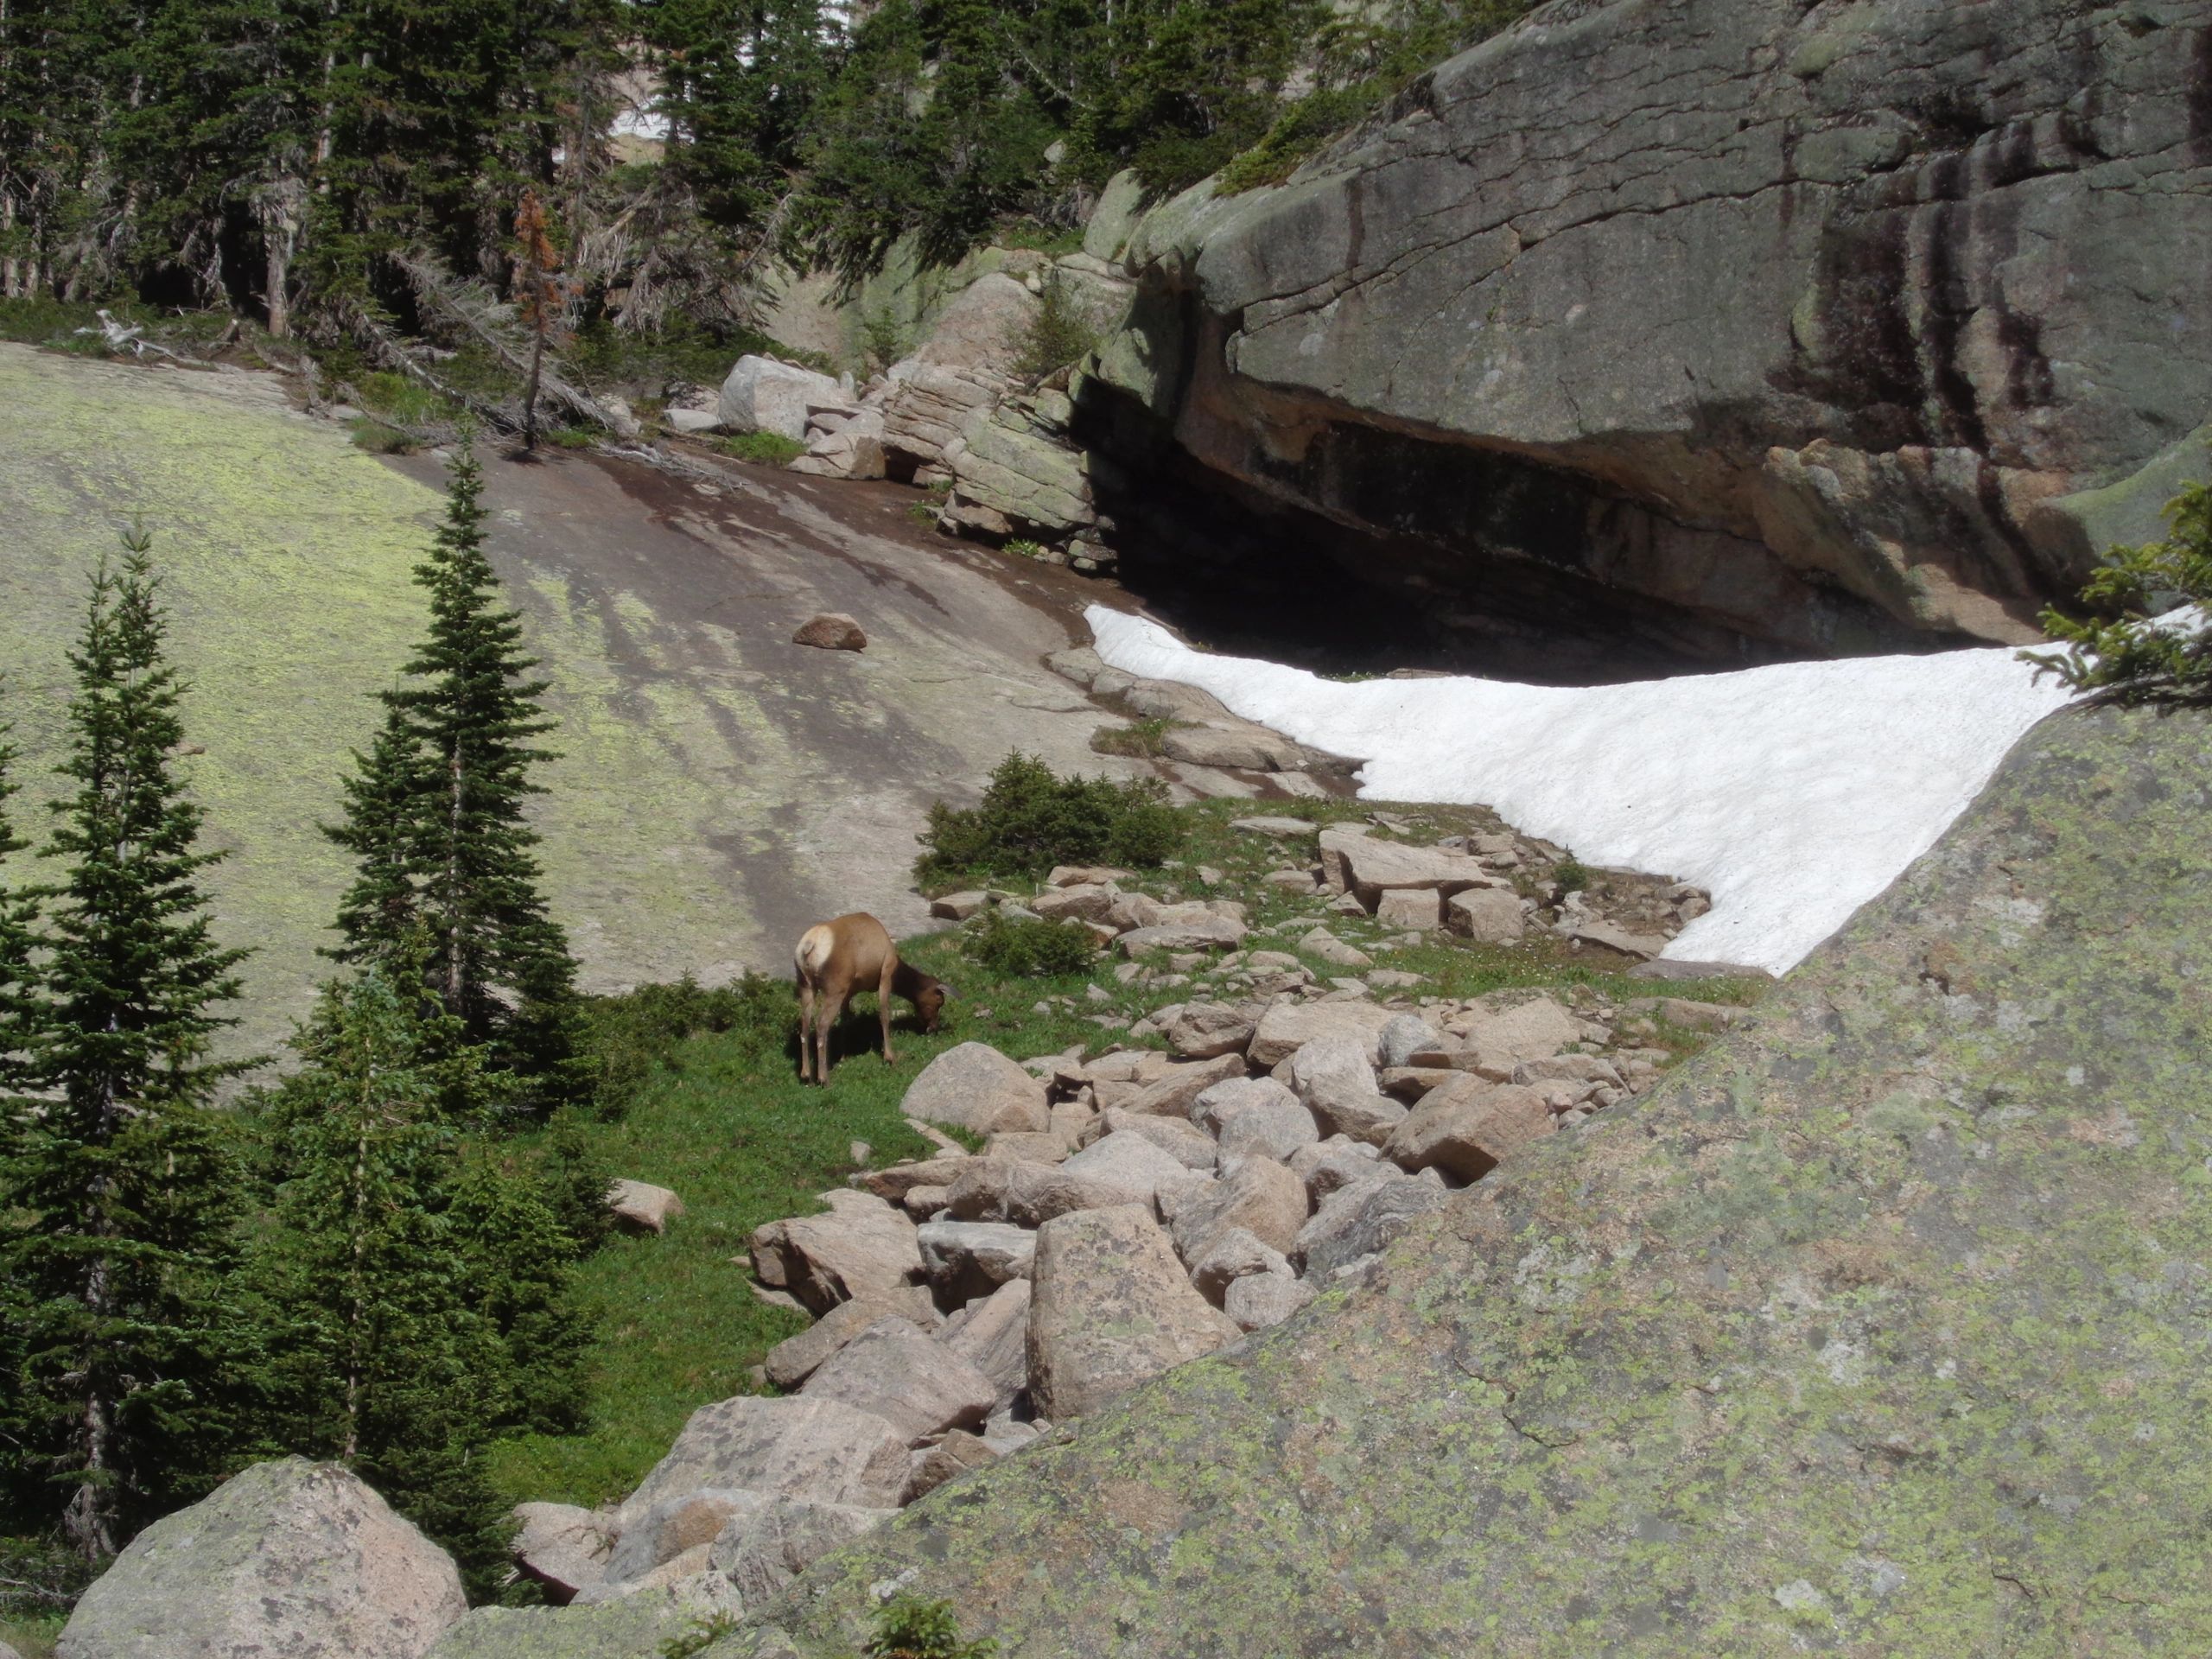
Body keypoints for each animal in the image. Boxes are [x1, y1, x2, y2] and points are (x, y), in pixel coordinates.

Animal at [796, 911, 950, 1092]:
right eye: (939, 1001)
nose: (933, 1027)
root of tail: (808, 946)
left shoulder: (849, 991)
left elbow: (845, 1020)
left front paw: (843, 1055)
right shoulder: (886, 973)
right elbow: (884, 1015)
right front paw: (890, 1057)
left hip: (806, 985)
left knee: (805, 1028)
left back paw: (807, 1075)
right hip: (834, 989)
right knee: (821, 1027)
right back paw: (824, 1079)